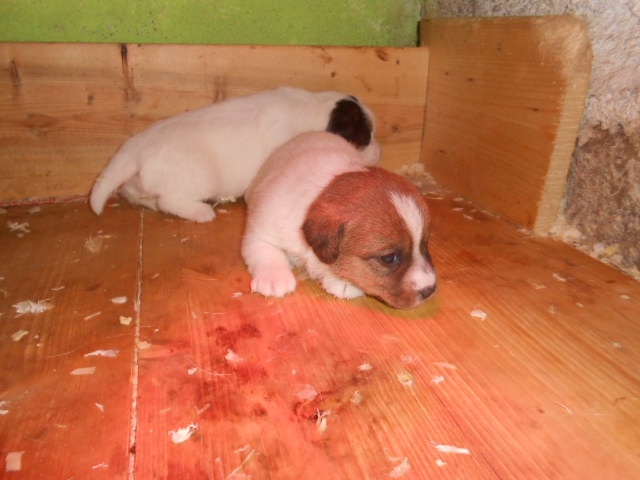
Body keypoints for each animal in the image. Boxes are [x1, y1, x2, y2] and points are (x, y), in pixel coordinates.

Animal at [89, 87, 380, 222]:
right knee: (170, 200)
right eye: (366, 137)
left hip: (135, 180)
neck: (314, 111)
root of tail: (135, 148)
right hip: (199, 177)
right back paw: (201, 212)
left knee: (135, 194)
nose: (381, 151)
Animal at [242, 131, 436, 309]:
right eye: (388, 258)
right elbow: (267, 252)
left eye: (425, 243)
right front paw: (275, 277)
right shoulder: (258, 232)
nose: (430, 290)